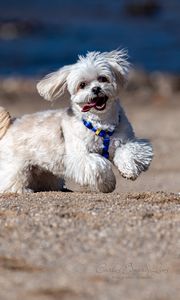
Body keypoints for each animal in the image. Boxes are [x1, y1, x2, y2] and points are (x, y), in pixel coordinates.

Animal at [0, 50, 153, 193]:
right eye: (82, 84)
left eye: (102, 78)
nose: (96, 88)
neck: (101, 123)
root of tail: (11, 124)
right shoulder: (81, 157)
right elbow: (99, 165)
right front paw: (107, 183)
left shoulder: (126, 140)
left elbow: (129, 152)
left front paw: (129, 169)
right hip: (16, 166)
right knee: (10, 181)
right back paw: (22, 190)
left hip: (44, 170)